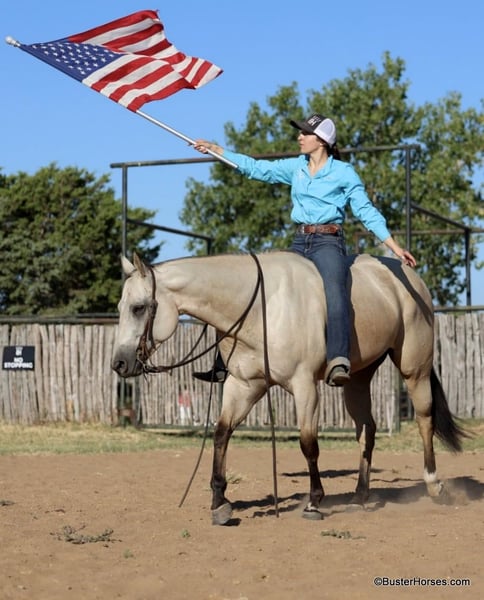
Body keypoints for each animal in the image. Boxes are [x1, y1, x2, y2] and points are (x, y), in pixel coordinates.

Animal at [112, 251, 465, 524]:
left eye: (139, 307)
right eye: (120, 307)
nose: (119, 363)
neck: (260, 309)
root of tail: (409, 278)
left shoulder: (305, 385)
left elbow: (308, 444)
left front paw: (313, 502)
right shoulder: (243, 386)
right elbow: (222, 433)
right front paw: (219, 502)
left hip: (414, 369)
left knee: (424, 420)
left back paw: (435, 486)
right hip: (359, 379)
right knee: (366, 429)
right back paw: (359, 497)